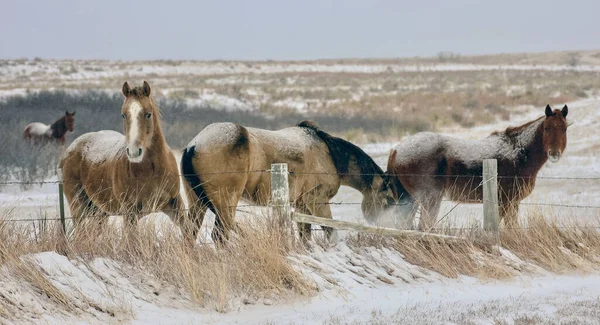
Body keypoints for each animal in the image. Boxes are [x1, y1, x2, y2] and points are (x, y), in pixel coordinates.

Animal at [60, 80, 188, 237]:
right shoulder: (130, 213)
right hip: (79, 207)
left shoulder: (175, 203)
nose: (134, 152)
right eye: (123, 115)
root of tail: (70, 150)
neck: (151, 170)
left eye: (148, 114)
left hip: (100, 212)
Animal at [178, 120, 412, 242]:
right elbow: (329, 231)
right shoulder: (317, 201)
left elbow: (305, 235)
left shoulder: (301, 205)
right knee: (220, 235)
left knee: (190, 232)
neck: (329, 154)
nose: (385, 227)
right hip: (225, 204)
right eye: (389, 200)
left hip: (197, 202)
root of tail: (194, 146)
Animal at [386, 103, 568, 228]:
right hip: (429, 199)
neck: (517, 151)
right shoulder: (506, 202)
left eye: (564, 129)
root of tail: (396, 150)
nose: (554, 153)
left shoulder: (512, 203)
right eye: (546, 128)